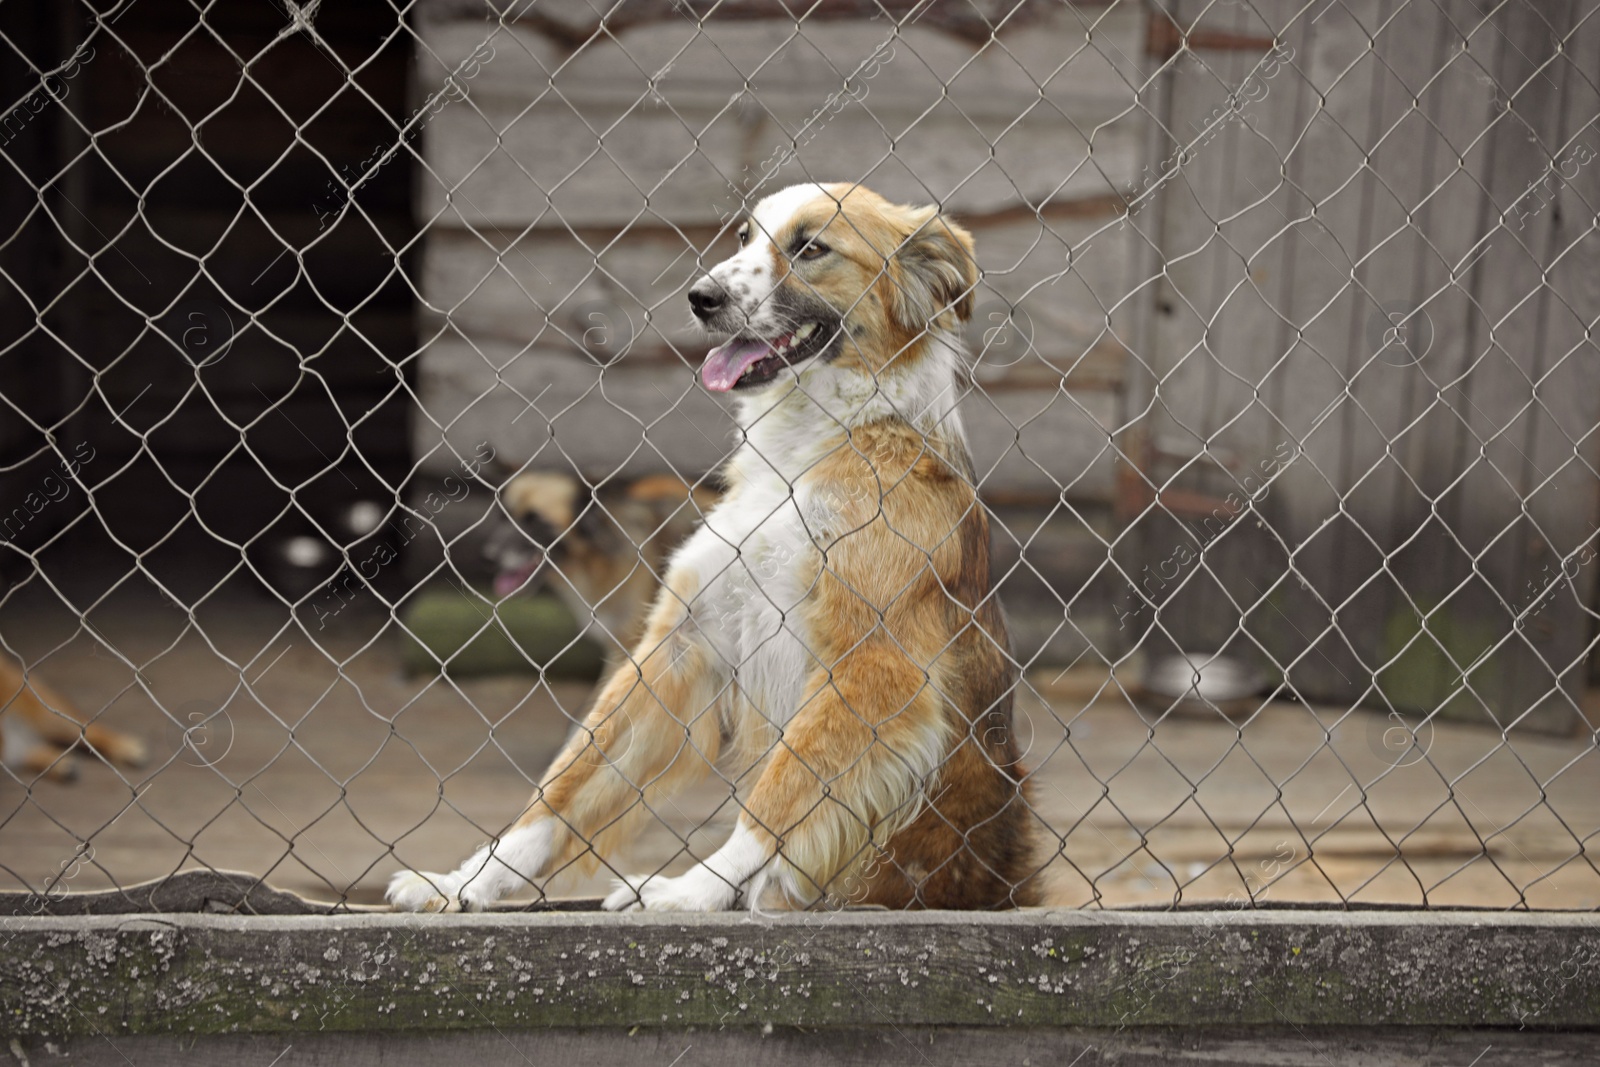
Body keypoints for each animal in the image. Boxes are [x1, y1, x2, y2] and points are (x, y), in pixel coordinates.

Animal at [388, 181, 1036, 908]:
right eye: (745, 238)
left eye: (812, 248)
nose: (701, 296)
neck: (805, 449)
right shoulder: (678, 643)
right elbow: (565, 783)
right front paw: (465, 881)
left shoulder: (872, 667)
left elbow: (777, 798)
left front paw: (692, 890)